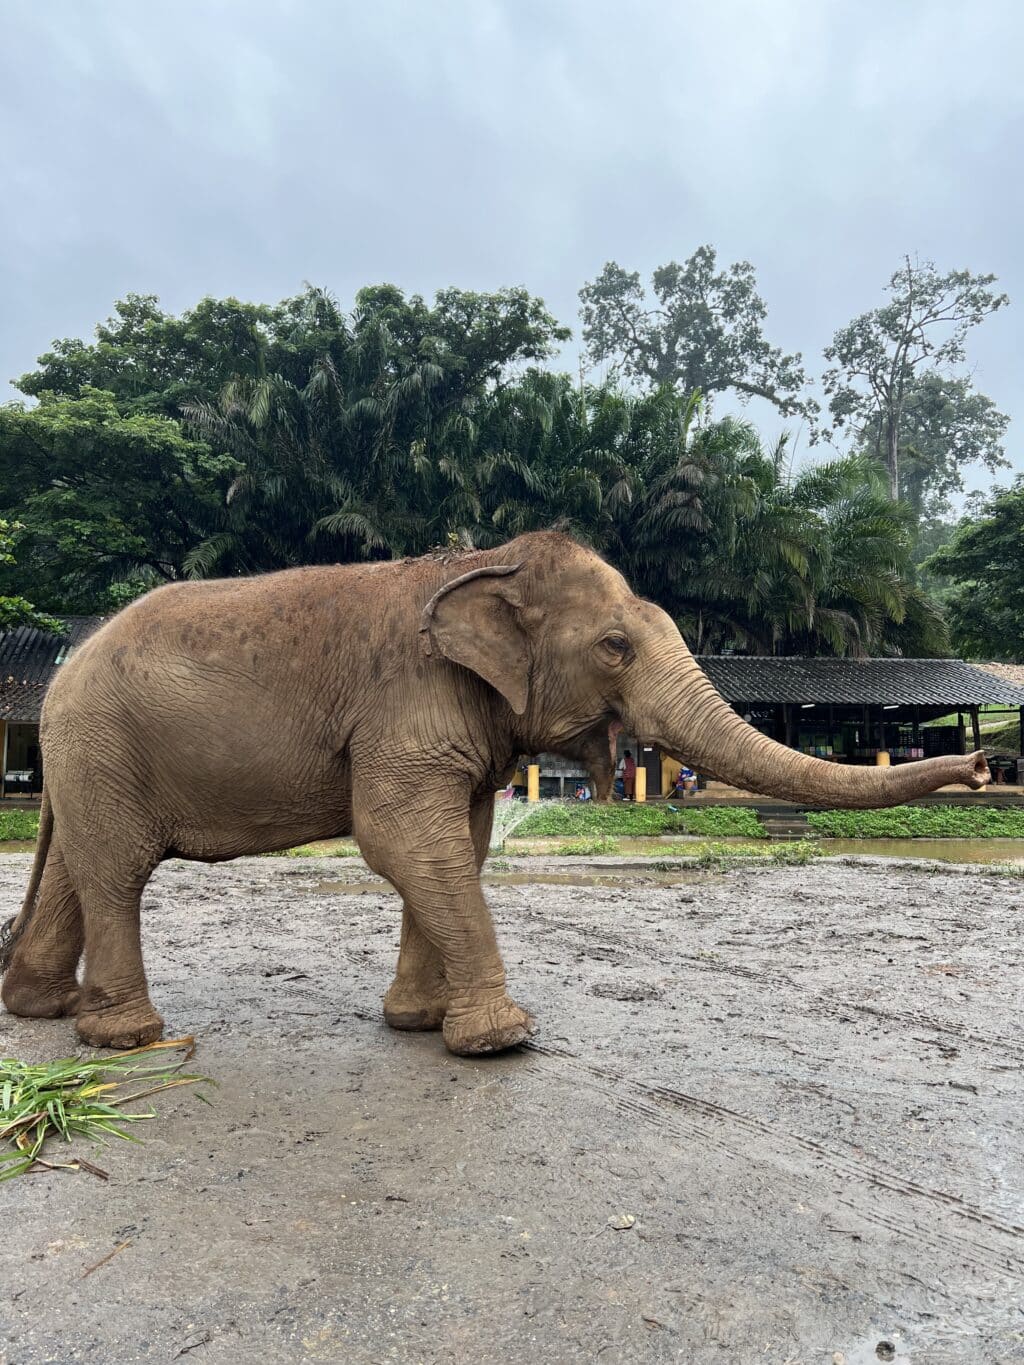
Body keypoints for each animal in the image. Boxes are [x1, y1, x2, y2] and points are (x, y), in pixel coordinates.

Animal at [0, 532, 993, 1053]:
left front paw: (417, 1023)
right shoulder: (408, 701)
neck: (488, 560)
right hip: (103, 745)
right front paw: (500, 1038)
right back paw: (128, 1038)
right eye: (615, 647)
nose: (984, 766)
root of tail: (57, 681)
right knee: (118, 872)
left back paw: (48, 1012)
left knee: (80, 870)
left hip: (91, 760)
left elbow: (460, 844)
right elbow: (403, 838)